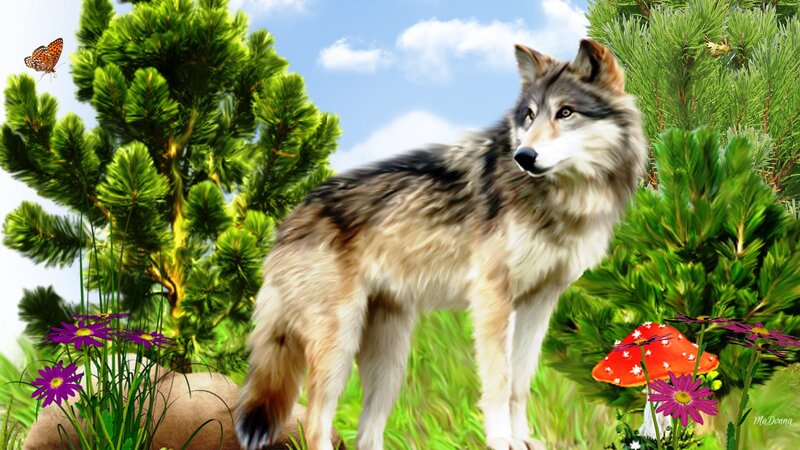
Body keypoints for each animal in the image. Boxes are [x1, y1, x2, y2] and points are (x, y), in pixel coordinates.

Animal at [235, 39, 647, 450]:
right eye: (529, 116)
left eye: (565, 112)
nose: (524, 157)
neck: (564, 197)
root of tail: (287, 221)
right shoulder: (492, 297)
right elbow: (498, 382)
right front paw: (501, 441)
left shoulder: (539, 301)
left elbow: (519, 383)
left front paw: (523, 439)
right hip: (339, 345)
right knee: (316, 421)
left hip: (389, 362)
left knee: (366, 432)